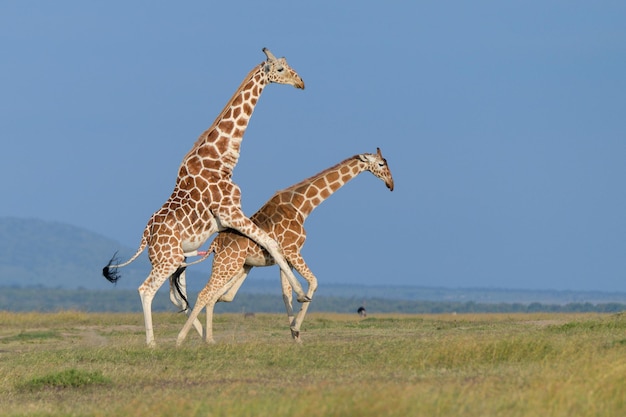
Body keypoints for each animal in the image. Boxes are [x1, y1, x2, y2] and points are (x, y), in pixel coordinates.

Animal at [102, 48, 310, 346]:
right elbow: (271, 242)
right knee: (146, 290)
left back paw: (196, 336)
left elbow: (264, 246)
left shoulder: (228, 221)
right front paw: (302, 293)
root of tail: (145, 238)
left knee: (176, 297)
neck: (221, 158)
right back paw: (153, 342)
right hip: (167, 259)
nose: (301, 82)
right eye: (280, 69)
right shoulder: (231, 211)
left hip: (174, 257)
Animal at [174, 146, 390, 344]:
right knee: (205, 294)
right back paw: (183, 338)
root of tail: (215, 243)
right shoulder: (292, 250)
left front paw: (296, 336)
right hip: (227, 265)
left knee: (214, 296)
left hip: (236, 265)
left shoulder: (285, 258)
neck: (302, 206)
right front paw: (296, 328)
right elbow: (313, 282)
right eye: (381, 164)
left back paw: (209, 338)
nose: (391, 183)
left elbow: (286, 294)